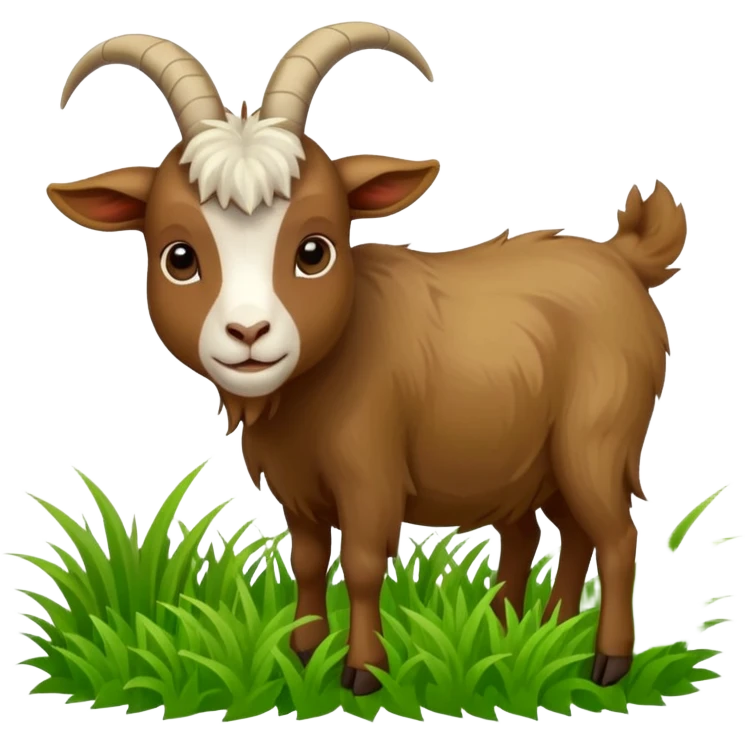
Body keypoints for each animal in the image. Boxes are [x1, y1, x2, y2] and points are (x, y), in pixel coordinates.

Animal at [46, 24, 687, 697]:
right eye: (178, 257)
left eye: (314, 251)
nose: (248, 332)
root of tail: (623, 258)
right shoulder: (297, 484)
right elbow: (306, 561)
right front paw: (303, 652)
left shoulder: (369, 472)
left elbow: (358, 565)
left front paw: (362, 671)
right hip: (537, 461)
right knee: (558, 533)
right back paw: (534, 632)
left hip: (596, 438)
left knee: (614, 537)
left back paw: (605, 661)